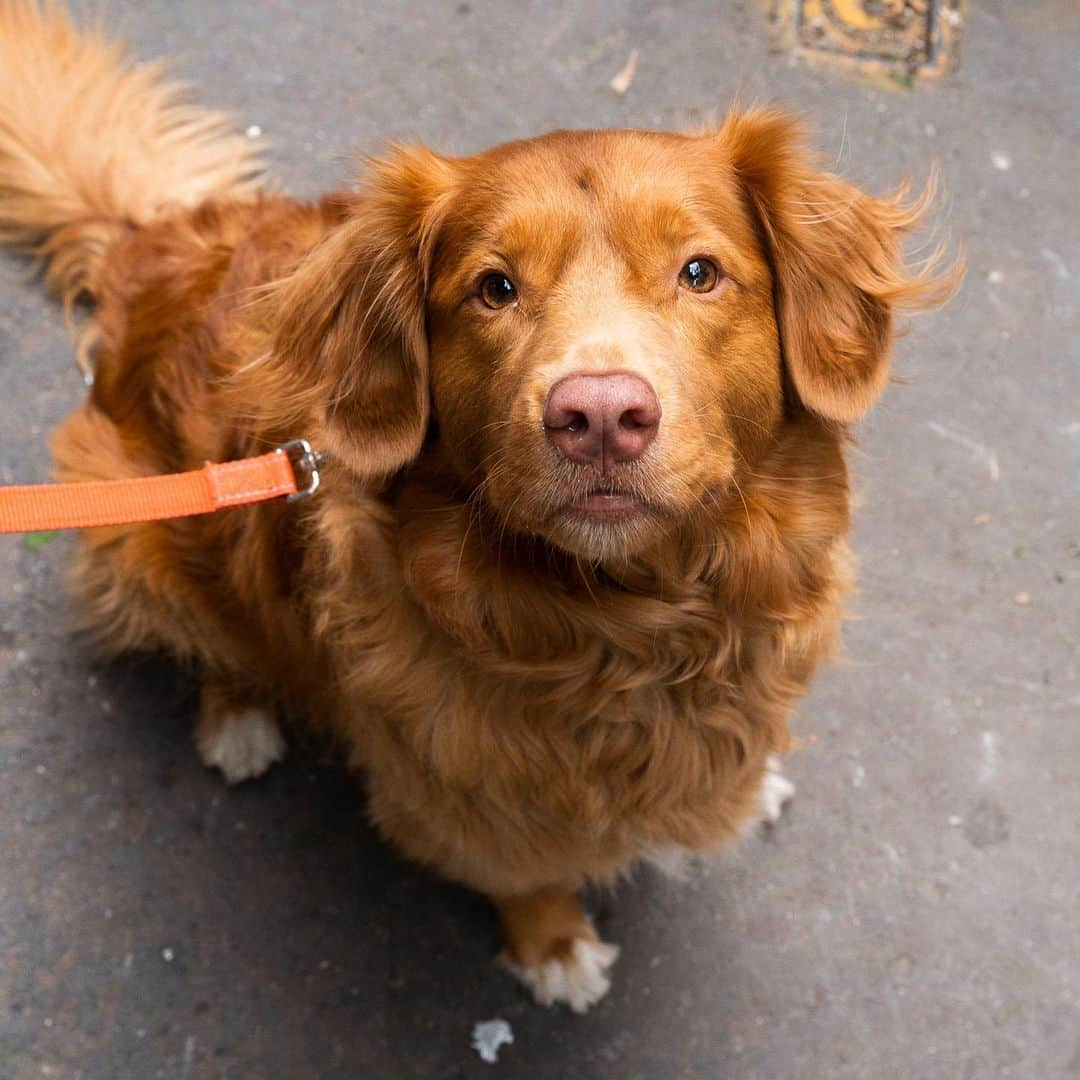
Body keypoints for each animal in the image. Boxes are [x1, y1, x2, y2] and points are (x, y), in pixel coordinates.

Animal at [4, 0, 959, 1010]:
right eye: (493, 289)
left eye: (700, 273)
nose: (601, 417)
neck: (639, 633)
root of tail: (144, 239)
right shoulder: (453, 792)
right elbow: (522, 873)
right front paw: (553, 943)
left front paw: (752, 775)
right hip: (128, 523)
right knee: (217, 633)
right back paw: (237, 715)